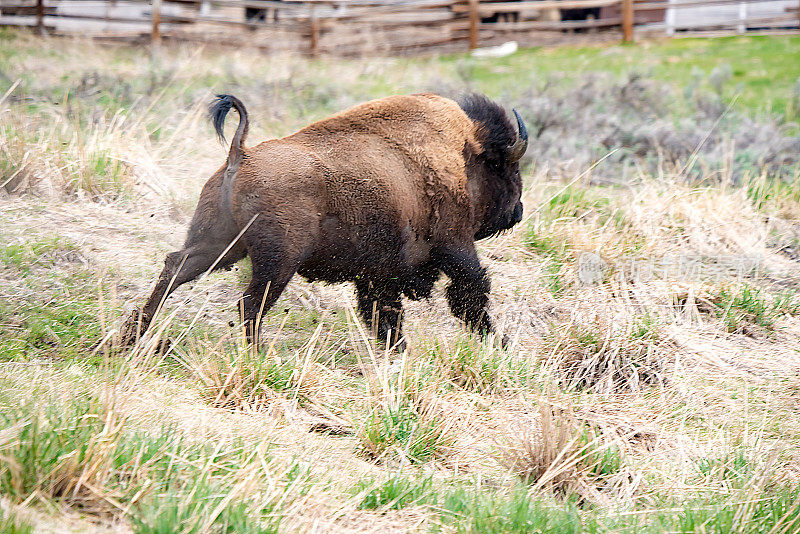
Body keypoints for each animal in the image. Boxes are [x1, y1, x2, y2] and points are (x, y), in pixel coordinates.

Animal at [122, 92, 528, 352]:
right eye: (508, 170)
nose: (518, 210)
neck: (465, 155)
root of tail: (241, 154)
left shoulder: (379, 274)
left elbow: (386, 315)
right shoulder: (455, 245)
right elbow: (471, 293)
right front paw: (499, 341)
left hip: (219, 245)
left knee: (175, 268)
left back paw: (132, 335)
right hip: (277, 261)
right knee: (249, 304)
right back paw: (259, 356)